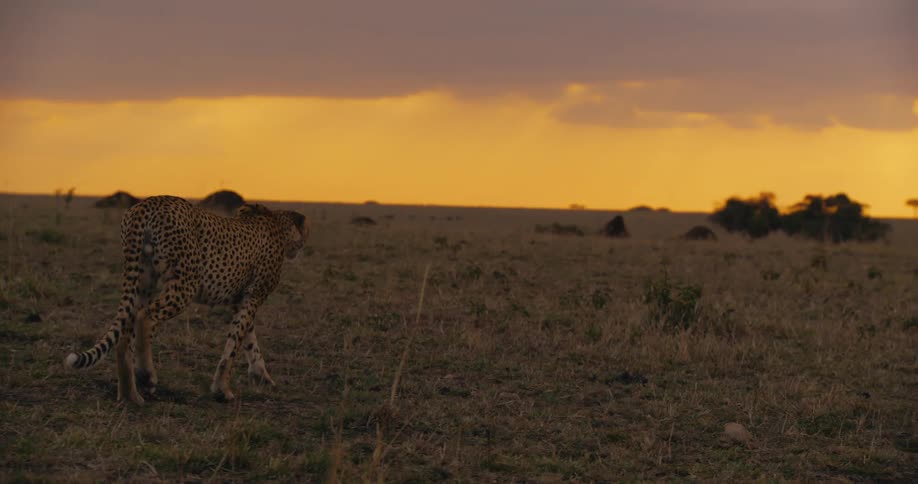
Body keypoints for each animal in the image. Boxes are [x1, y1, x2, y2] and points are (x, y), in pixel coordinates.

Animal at [64, 195, 309, 405]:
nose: (302, 246)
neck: (276, 224)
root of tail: (149, 202)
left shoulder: (241, 300)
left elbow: (249, 340)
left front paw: (261, 376)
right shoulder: (253, 296)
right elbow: (234, 344)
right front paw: (222, 390)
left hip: (143, 280)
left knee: (127, 328)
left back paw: (130, 395)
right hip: (185, 284)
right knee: (145, 317)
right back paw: (146, 375)